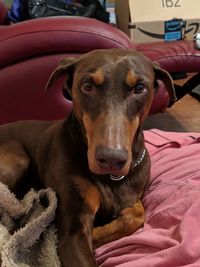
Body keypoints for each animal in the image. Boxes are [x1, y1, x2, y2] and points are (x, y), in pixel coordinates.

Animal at [0, 49, 176, 266]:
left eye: (140, 88)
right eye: (87, 85)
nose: (111, 159)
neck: (111, 179)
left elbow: (136, 213)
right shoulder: (74, 231)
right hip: (16, 157)